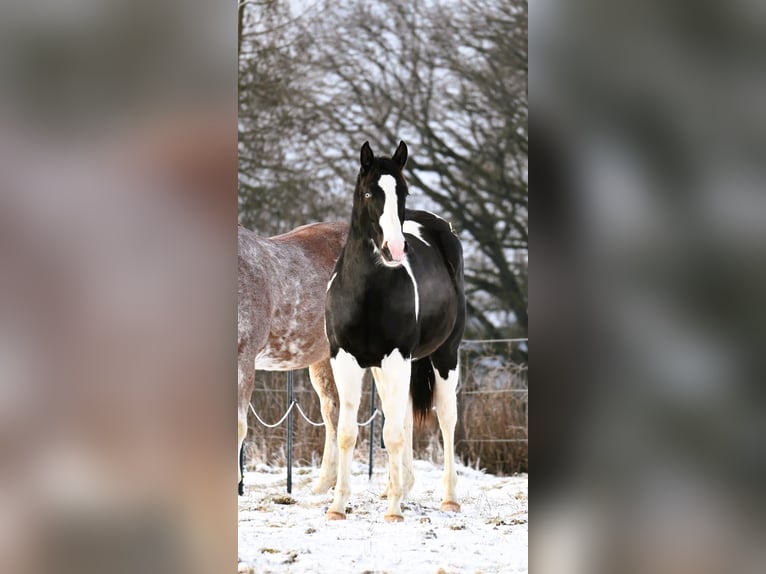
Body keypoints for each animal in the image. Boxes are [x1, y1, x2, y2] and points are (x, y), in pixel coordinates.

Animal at [324, 141, 466, 521]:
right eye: (368, 192)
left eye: (402, 192)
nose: (395, 249)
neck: (365, 293)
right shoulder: (345, 360)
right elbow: (348, 432)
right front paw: (337, 506)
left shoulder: (397, 357)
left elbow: (393, 434)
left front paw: (393, 511)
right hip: (385, 368)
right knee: (398, 415)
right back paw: (397, 486)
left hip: (444, 356)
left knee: (446, 418)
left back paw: (448, 498)